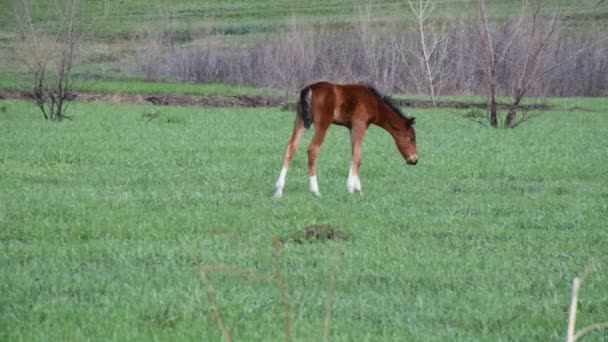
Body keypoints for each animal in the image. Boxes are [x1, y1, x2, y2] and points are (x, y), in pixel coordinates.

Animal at [274, 81, 416, 198]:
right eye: (411, 138)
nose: (414, 160)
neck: (373, 102)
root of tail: (309, 88)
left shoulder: (351, 128)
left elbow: (354, 153)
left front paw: (358, 189)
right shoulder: (360, 125)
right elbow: (358, 155)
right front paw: (352, 188)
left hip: (301, 121)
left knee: (290, 147)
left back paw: (279, 190)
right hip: (322, 124)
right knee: (312, 149)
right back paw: (315, 190)